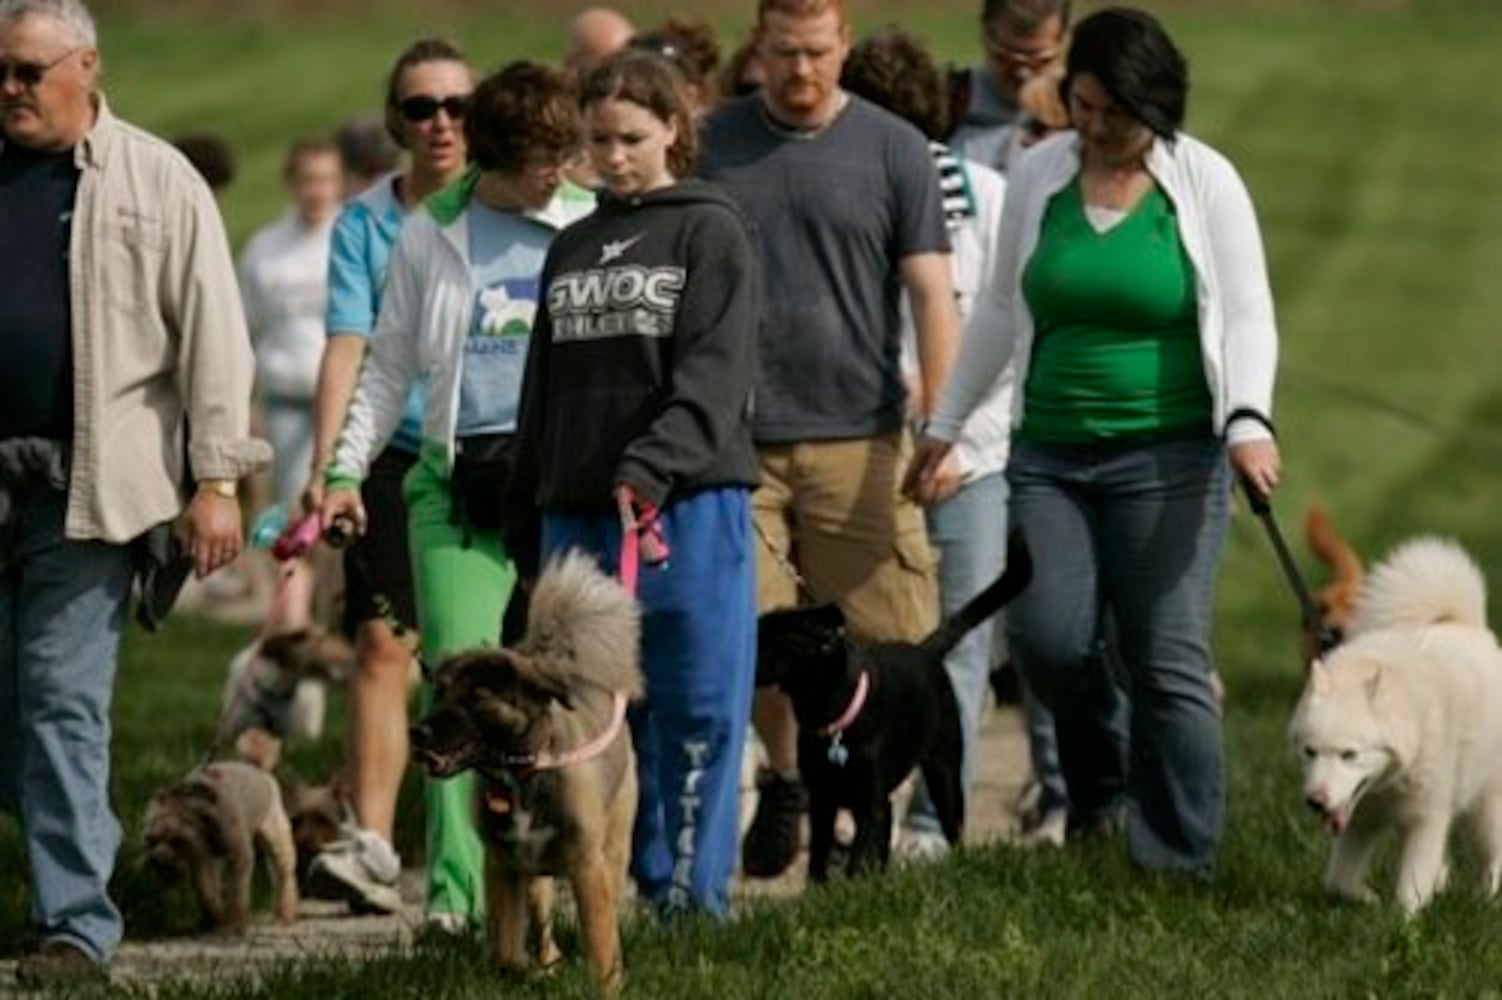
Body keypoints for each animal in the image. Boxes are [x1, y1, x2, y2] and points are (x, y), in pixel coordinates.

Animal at [141, 759, 300, 930]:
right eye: (151, 840)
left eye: (177, 840)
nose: (159, 861)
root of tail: (257, 768)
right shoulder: (203, 859)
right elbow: (207, 893)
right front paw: (215, 918)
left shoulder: (239, 856)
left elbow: (236, 891)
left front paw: (234, 922)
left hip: (277, 839)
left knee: (284, 877)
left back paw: (284, 913)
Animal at [411, 549, 645, 990]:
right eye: (440, 693)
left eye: (477, 696)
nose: (417, 733)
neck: (520, 773)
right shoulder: (502, 866)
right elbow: (505, 946)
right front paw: (517, 972)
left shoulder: (588, 868)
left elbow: (602, 943)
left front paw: (609, 985)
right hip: (537, 880)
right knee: (545, 931)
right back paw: (547, 968)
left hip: (613, 849)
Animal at [757, 528, 1027, 882]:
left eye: (776, 639)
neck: (833, 720)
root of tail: (925, 651)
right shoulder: (823, 799)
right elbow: (818, 857)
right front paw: (822, 890)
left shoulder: (871, 802)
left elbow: (858, 857)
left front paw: (853, 886)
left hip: (944, 773)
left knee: (953, 829)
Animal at [1285, 537, 1502, 912]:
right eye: (1310, 751)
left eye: (1349, 754)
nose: (1316, 801)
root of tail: (1465, 624)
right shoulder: (1361, 820)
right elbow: (1339, 881)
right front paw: (1366, 899)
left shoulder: (1427, 818)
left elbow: (1410, 886)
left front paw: (1401, 920)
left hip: (1486, 805)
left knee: (1492, 855)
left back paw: (1485, 899)